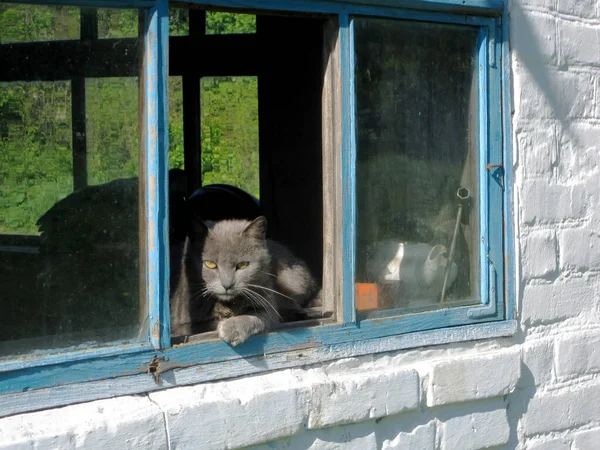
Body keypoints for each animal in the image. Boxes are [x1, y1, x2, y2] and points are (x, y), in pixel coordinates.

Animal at [170, 214, 318, 344]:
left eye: (243, 265)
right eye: (210, 264)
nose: (227, 285)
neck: (229, 303)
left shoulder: (266, 300)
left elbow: (259, 317)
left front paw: (232, 328)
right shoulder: (182, 324)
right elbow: (205, 324)